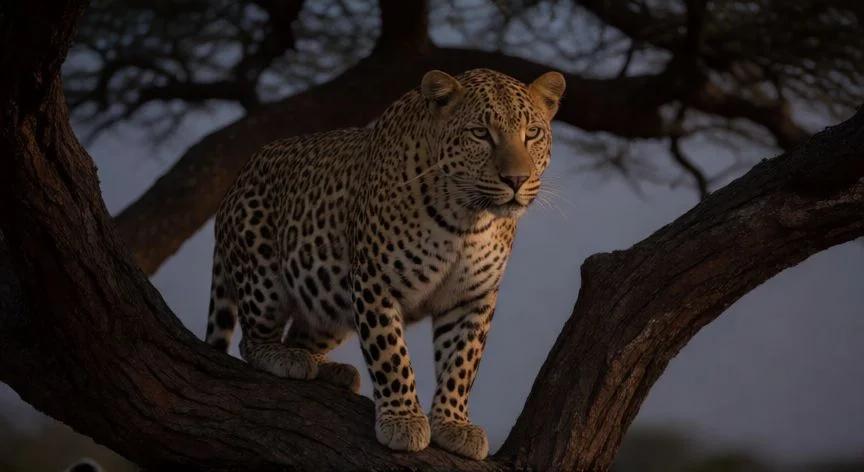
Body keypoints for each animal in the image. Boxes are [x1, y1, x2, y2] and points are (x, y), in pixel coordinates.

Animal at [203, 67, 566, 460]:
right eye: (480, 133)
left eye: (532, 133)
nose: (516, 180)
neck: (468, 219)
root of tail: (235, 183)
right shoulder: (375, 280)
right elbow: (391, 353)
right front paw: (403, 420)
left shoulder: (472, 296)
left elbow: (462, 361)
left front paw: (453, 423)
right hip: (262, 272)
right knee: (251, 341)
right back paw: (283, 357)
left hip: (326, 297)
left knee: (300, 332)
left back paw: (326, 367)